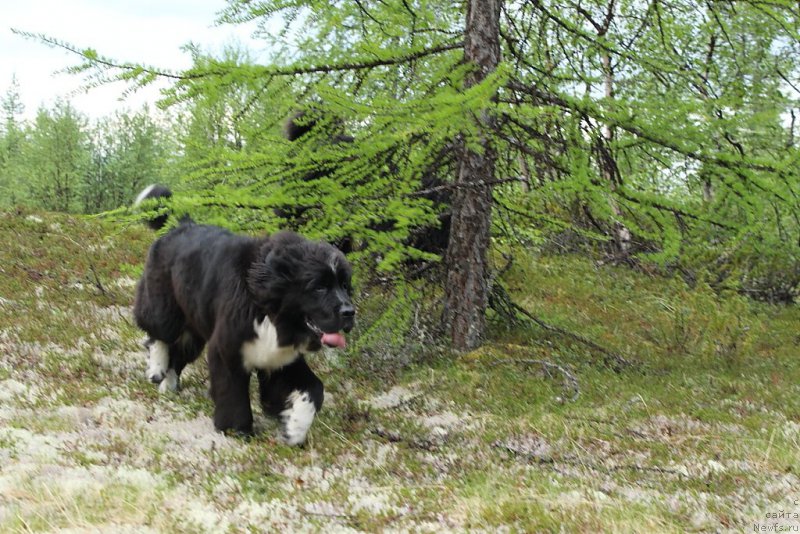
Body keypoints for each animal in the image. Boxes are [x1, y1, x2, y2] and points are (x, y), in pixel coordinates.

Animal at [134, 186, 354, 446]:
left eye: (344, 285)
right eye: (319, 287)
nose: (350, 312)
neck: (270, 310)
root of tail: (181, 224)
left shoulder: (281, 360)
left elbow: (314, 389)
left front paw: (294, 429)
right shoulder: (227, 350)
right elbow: (233, 395)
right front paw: (236, 430)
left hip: (194, 327)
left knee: (179, 352)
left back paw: (168, 384)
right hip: (165, 307)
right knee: (156, 332)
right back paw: (157, 368)